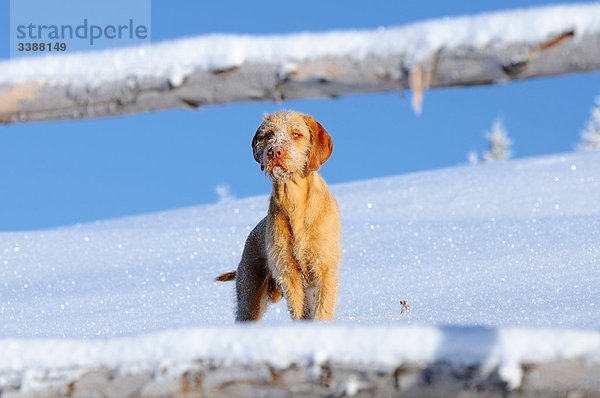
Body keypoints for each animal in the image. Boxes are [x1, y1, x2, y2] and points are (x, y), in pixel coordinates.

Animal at [214, 110, 342, 322]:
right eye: (268, 134)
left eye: (296, 134)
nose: (274, 152)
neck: (294, 202)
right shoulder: (289, 273)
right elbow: (299, 311)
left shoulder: (323, 268)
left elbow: (322, 309)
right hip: (249, 296)